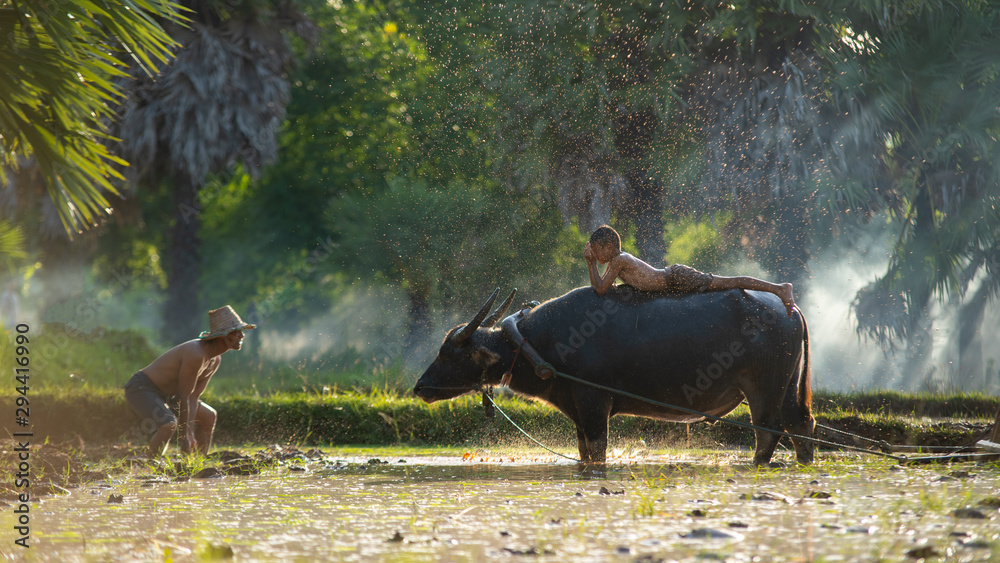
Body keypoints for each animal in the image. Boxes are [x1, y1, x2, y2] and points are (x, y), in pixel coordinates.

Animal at [414, 284, 812, 464]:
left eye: (448, 352)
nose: (420, 387)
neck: (536, 343)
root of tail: (788, 308)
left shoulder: (594, 403)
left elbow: (597, 450)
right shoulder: (577, 409)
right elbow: (584, 451)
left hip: (763, 390)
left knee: (768, 433)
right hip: (788, 387)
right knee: (801, 426)